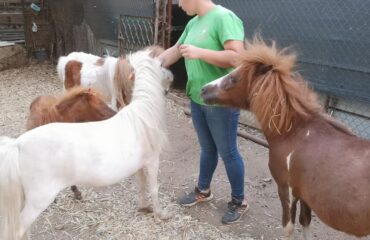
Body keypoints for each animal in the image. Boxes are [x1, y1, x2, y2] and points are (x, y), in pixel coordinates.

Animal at [0, 49, 173, 239]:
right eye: (162, 65)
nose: (170, 82)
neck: (142, 115)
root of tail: (18, 144)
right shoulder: (152, 161)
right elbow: (154, 188)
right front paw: (160, 214)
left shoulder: (139, 165)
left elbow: (141, 185)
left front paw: (144, 207)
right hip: (38, 200)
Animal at [201, 37, 370, 238]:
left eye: (234, 78)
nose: (203, 89)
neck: (292, 133)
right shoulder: (304, 195)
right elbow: (305, 222)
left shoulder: (286, 190)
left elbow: (288, 226)